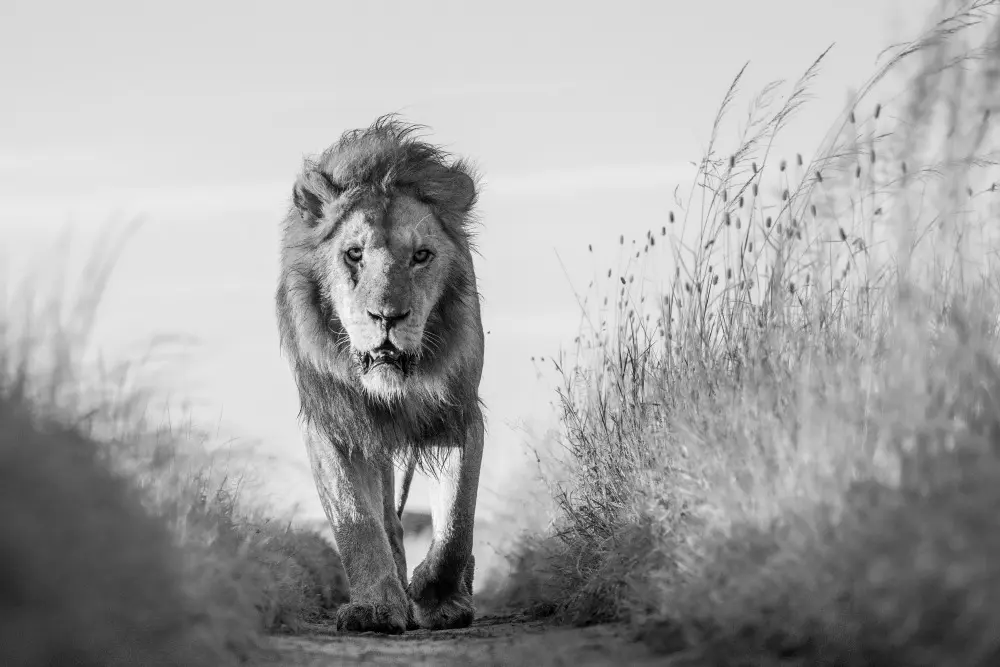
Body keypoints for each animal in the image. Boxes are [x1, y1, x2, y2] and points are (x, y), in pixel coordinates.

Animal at [275, 115, 486, 634]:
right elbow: (357, 520)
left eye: (421, 256)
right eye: (354, 254)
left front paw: (436, 595)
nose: (387, 317)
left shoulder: (458, 414)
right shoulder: (334, 424)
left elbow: (457, 522)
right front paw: (375, 607)